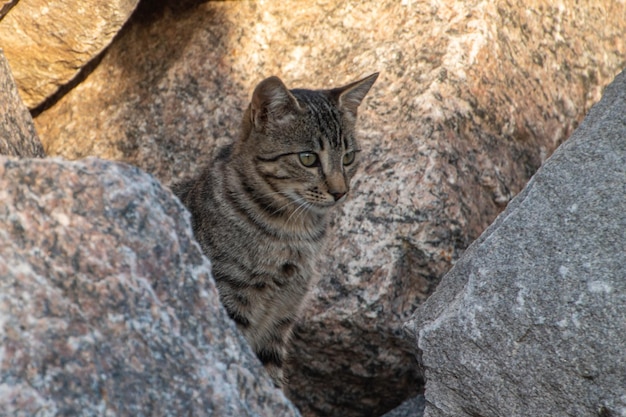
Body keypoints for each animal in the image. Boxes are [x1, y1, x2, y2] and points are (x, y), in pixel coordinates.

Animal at [171, 71, 376, 386]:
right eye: (308, 158)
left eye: (348, 157)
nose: (340, 192)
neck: (293, 233)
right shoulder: (230, 303)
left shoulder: (280, 319)